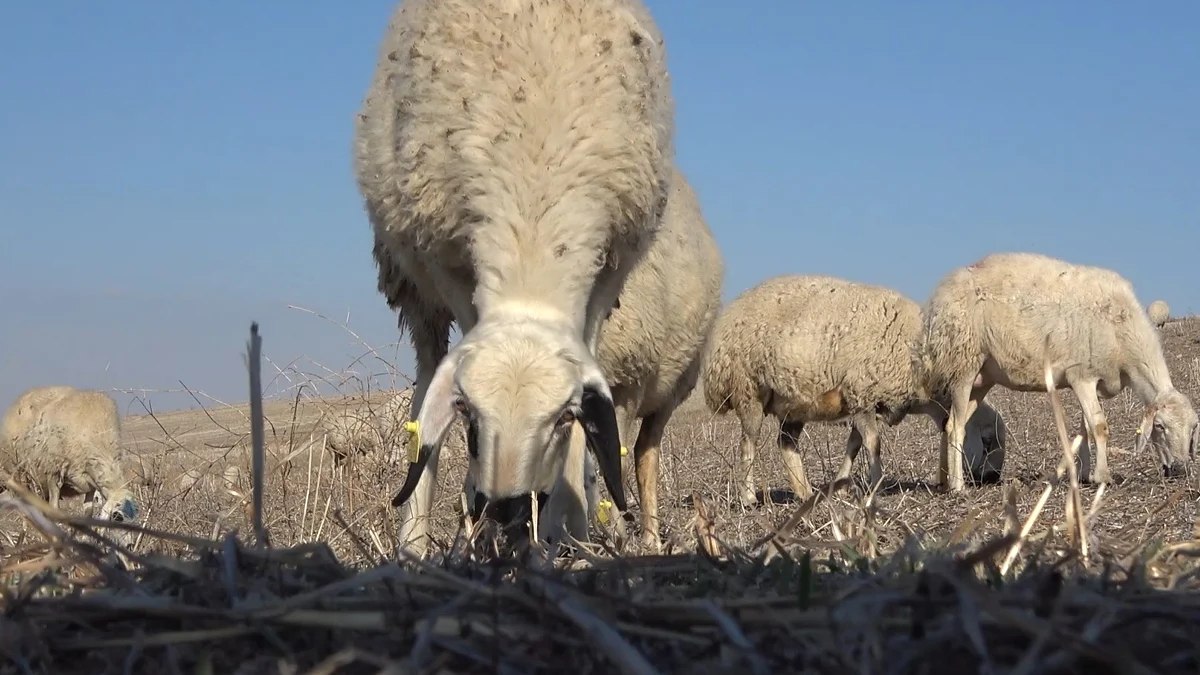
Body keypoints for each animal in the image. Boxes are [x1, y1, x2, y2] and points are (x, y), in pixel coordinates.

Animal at [0, 384, 139, 526]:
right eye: (117, 516)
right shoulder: (53, 472)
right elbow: (55, 509)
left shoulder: (89, 481)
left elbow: (88, 511)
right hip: (20, 477)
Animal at [352, 0, 676, 554]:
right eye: (469, 413)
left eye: (563, 417)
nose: (505, 508)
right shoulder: (445, 266)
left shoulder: (608, 274)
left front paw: (570, 528)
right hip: (414, 285)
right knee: (427, 376)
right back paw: (416, 537)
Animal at [700, 275, 1008, 504]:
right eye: (987, 441)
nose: (993, 479)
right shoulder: (862, 394)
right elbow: (873, 444)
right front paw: (877, 485)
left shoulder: (863, 402)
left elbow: (854, 444)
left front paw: (841, 485)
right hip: (747, 390)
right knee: (748, 444)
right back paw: (749, 497)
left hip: (794, 403)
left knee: (786, 444)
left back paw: (805, 493)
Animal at [916, 251, 1190, 487]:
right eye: (1160, 426)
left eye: (1193, 429)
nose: (1180, 470)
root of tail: (938, 297)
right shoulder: (1082, 376)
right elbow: (1099, 427)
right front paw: (1103, 477)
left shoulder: (1092, 381)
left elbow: (1085, 429)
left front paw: (1084, 475)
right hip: (962, 365)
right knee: (955, 427)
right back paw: (957, 485)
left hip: (982, 379)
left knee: (954, 423)